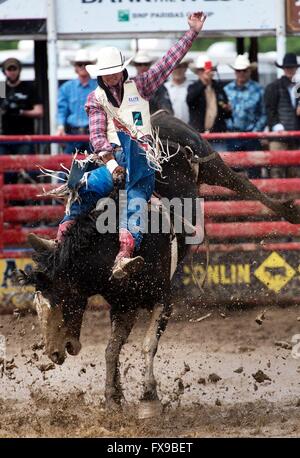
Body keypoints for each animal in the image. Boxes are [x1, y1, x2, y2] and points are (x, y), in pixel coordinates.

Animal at [18, 111, 300, 418]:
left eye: (64, 297)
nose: (54, 354)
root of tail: (158, 114)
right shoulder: (124, 306)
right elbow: (111, 349)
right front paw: (113, 397)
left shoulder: (164, 299)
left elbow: (147, 344)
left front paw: (148, 398)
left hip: (209, 161)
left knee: (243, 183)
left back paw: (290, 212)